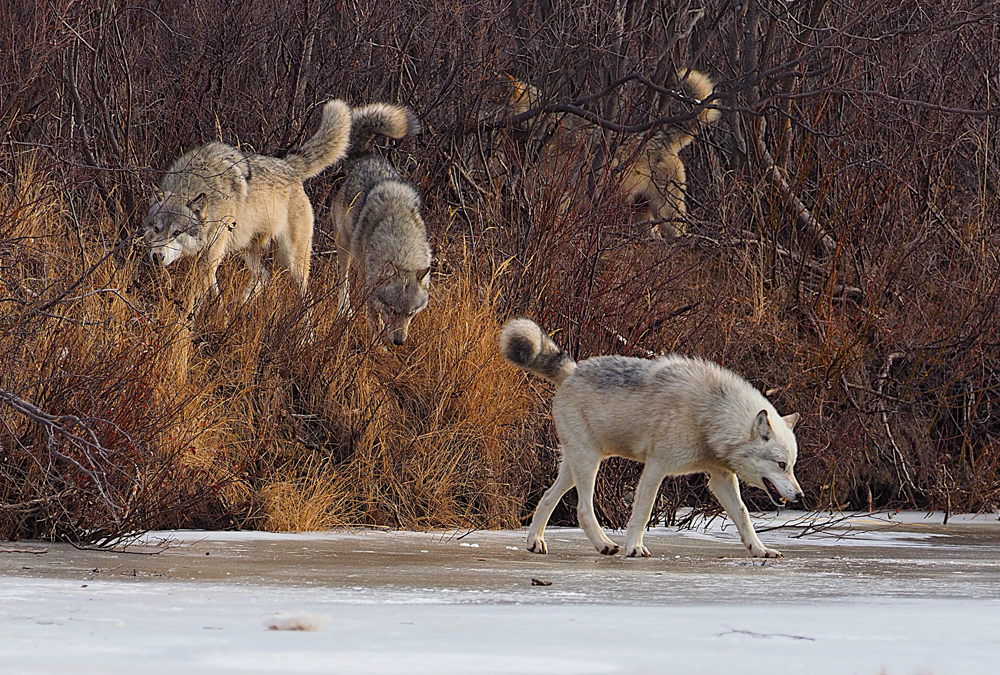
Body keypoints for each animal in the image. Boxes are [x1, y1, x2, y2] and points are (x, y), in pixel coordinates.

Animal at [144, 99, 352, 316]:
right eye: (156, 229)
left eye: (177, 232)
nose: (157, 257)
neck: (195, 184)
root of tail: (290, 166)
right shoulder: (205, 259)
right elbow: (210, 290)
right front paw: (219, 313)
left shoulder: (211, 257)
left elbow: (199, 292)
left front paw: (190, 319)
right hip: (247, 250)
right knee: (264, 275)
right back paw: (241, 304)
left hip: (292, 262)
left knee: (306, 296)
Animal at [330, 105, 428, 348]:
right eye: (392, 309)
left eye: (410, 314)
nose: (399, 342)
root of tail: (363, 158)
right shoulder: (370, 289)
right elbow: (374, 320)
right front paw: (379, 347)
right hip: (344, 247)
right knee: (343, 282)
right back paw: (344, 311)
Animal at [500, 320, 804, 556]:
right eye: (780, 465)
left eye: (791, 466)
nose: (800, 495)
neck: (710, 415)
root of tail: (573, 370)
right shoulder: (656, 467)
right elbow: (644, 512)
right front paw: (634, 548)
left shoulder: (720, 478)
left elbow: (743, 515)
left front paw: (760, 550)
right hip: (588, 464)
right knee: (583, 509)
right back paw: (605, 545)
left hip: (576, 466)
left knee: (547, 497)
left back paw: (535, 542)